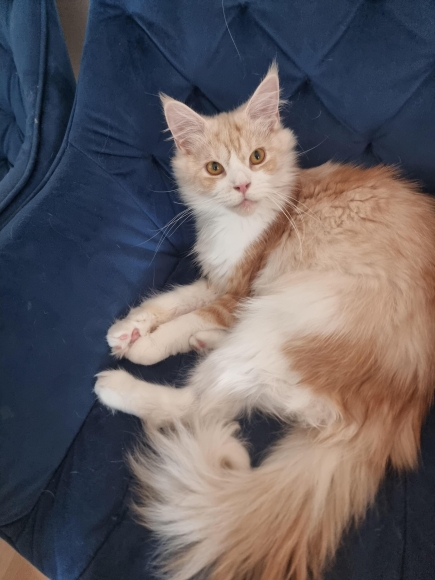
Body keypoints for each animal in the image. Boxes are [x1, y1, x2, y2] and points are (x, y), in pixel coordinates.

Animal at [94, 64, 435, 580]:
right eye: (215, 169)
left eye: (256, 159)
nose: (241, 186)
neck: (237, 226)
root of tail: (395, 418)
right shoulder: (221, 281)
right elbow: (172, 299)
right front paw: (129, 327)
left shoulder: (239, 293)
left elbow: (179, 322)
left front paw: (145, 345)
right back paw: (199, 342)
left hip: (276, 320)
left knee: (196, 408)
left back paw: (116, 385)